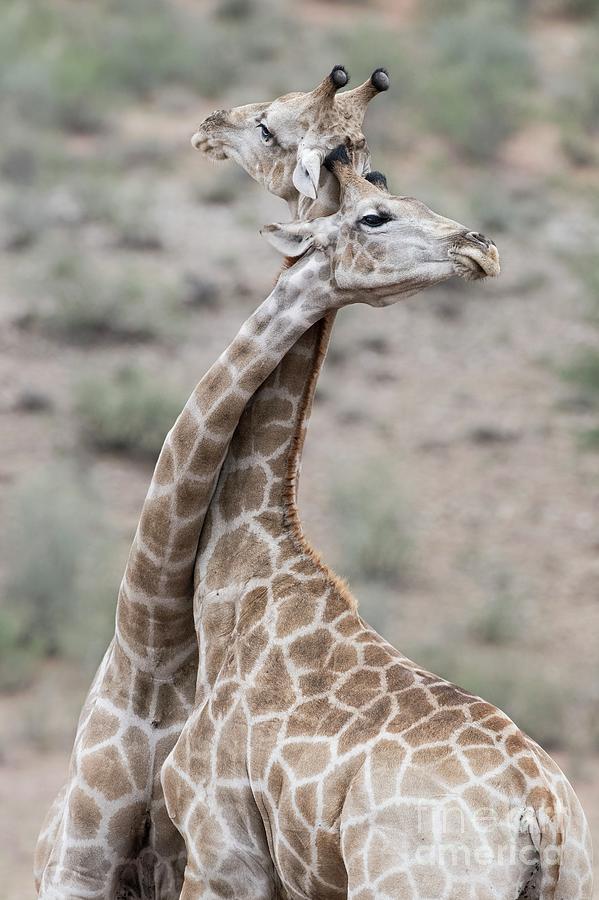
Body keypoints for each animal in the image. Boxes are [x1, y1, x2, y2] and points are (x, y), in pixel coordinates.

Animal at [159, 155, 592, 900]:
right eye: (376, 215)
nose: (481, 247)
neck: (238, 574)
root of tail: (540, 814)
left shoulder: (219, 848)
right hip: (578, 879)